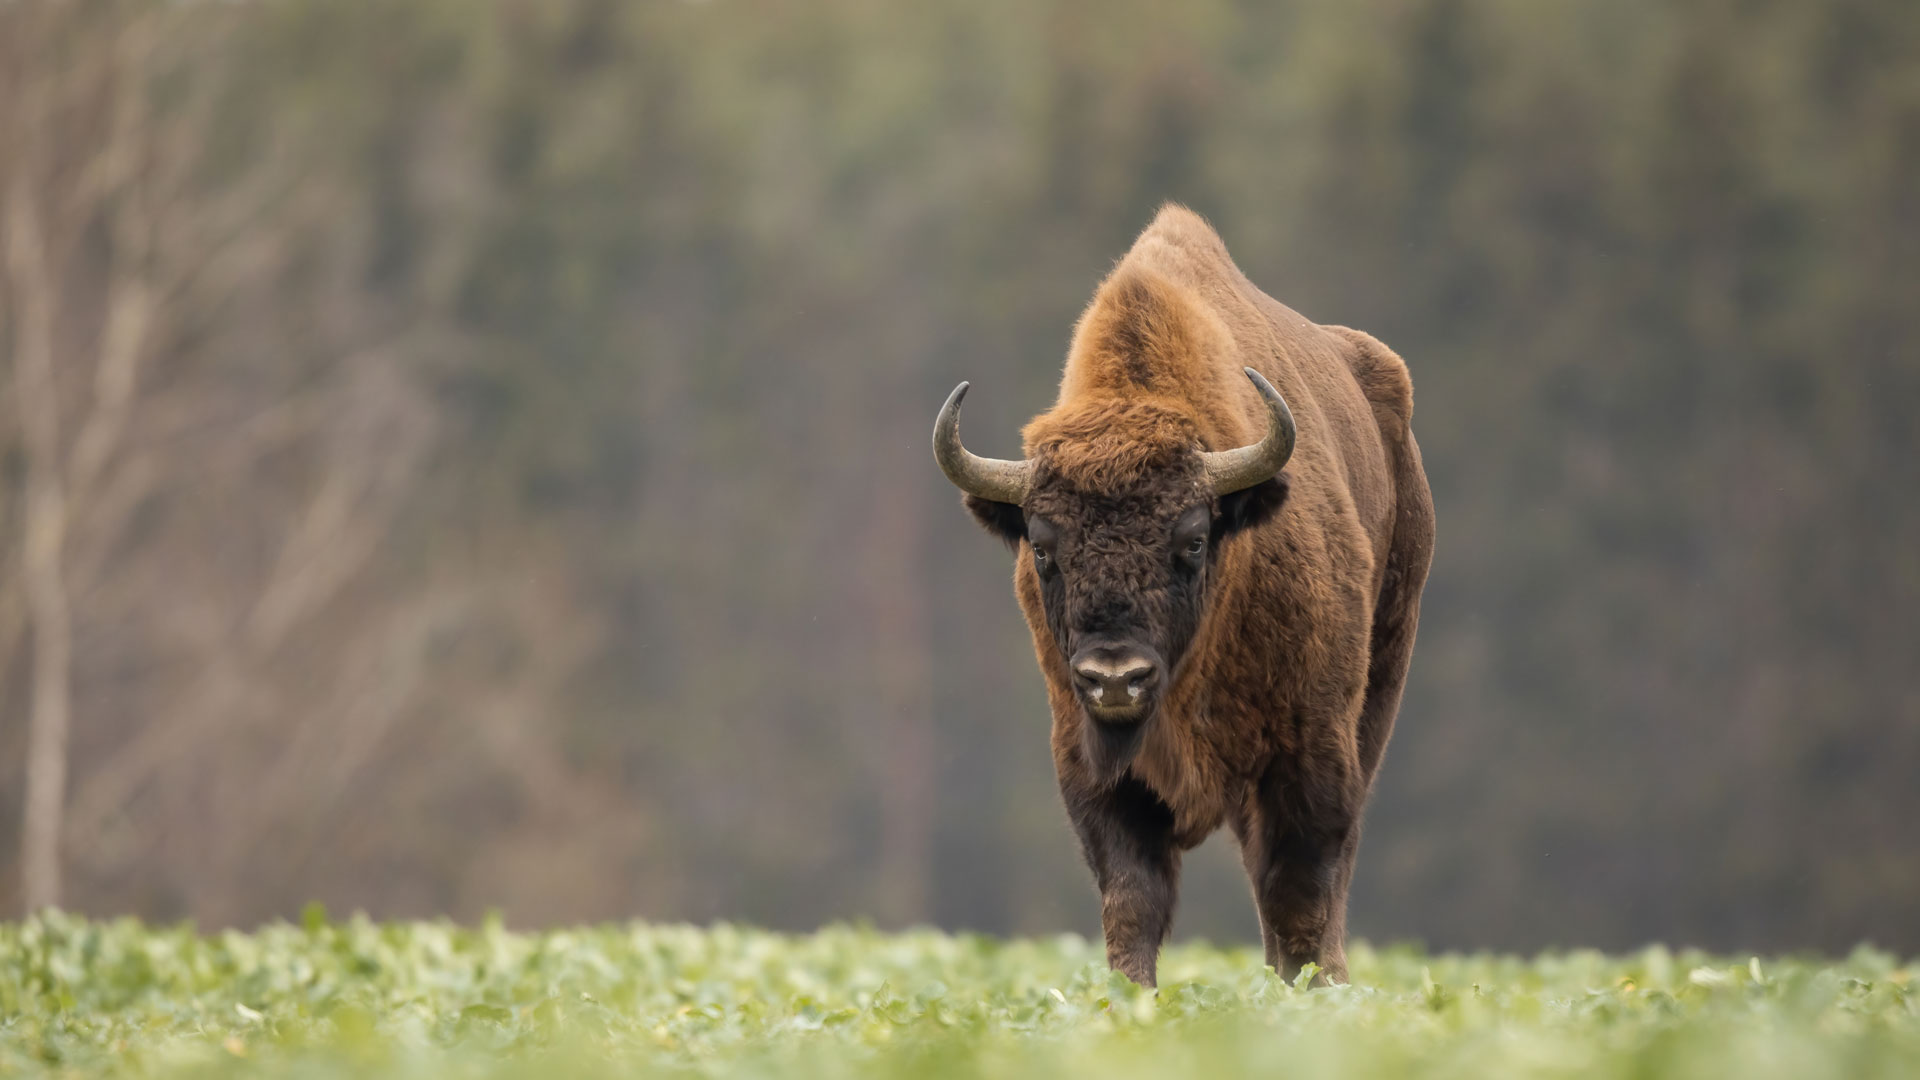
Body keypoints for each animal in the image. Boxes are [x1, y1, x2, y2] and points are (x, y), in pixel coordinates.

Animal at [929, 203, 1443, 983]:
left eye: (1193, 539)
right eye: (1042, 548)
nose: (1116, 677)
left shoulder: (1310, 749)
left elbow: (1300, 892)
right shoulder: (1094, 769)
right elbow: (1133, 902)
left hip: (1381, 677)